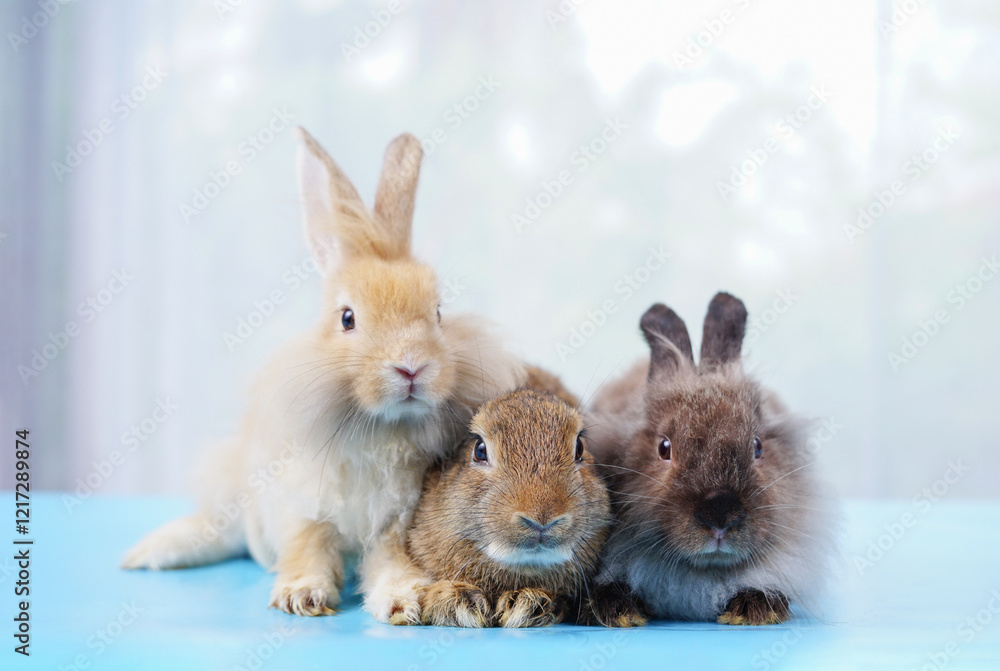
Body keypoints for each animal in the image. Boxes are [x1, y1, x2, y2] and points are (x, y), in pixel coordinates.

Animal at [121, 128, 526, 624]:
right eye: (347, 318)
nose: (412, 365)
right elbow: (306, 551)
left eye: (437, 312)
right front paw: (301, 597)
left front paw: (405, 601)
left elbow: (391, 563)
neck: (379, 431)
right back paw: (146, 554)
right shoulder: (305, 510)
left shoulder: (396, 524)